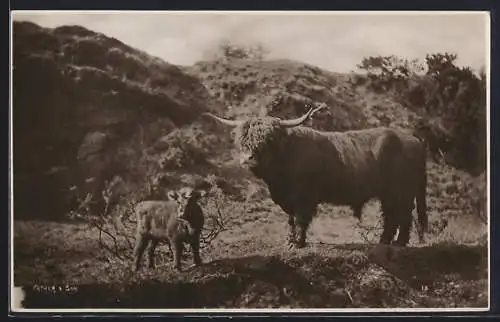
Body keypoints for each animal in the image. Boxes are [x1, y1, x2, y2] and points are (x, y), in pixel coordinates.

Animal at [203, 105, 430, 249]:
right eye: (243, 140)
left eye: (268, 140)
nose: (248, 158)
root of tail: (414, 140)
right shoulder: (288, 199)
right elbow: (290, 220)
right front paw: (290, 241)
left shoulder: (305, 197)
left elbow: (301, 219)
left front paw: (299, 243)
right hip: (388, 193)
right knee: (391, 216)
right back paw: (384, 242)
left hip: (403, 191)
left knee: (404, 215)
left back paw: (400, 243)